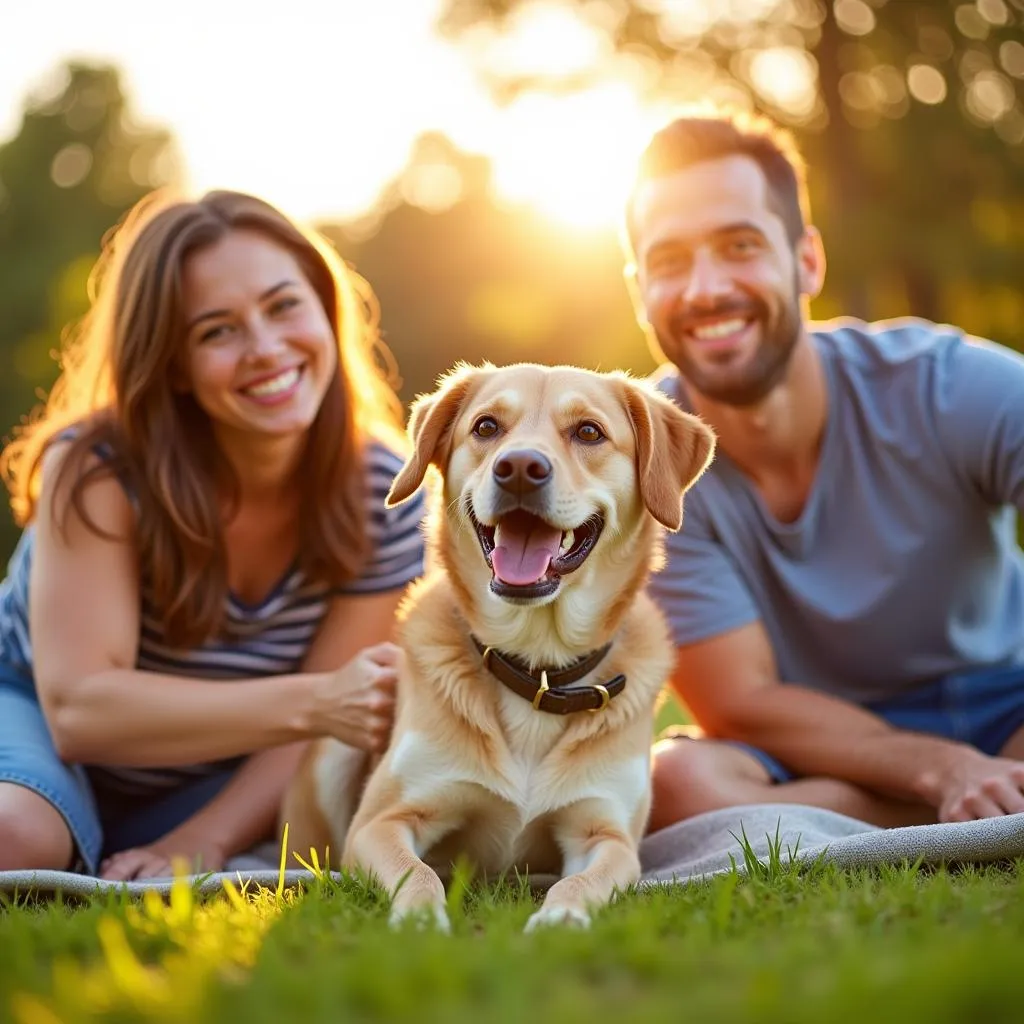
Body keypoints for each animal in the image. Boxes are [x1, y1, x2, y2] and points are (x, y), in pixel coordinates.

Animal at [280, 364, 712, 933]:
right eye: (486, 427)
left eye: (589, 432)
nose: (520, 468)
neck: (537, 668)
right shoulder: (383, 821)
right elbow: (419, 872)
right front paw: (420, 923)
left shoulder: (605, 834)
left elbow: (580, 881)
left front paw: (560, 920)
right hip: (340, 740)